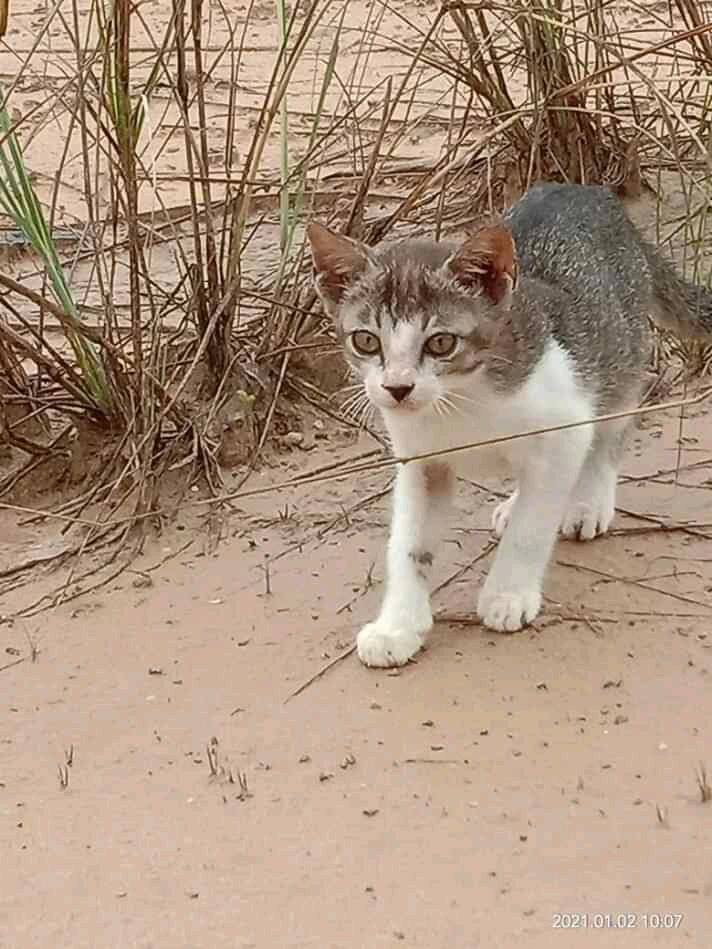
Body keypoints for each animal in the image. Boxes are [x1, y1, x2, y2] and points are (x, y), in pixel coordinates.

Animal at [306, 181, 712, 664]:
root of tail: (584, 191)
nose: (398, 387)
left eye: (441, 343)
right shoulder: (421, 460)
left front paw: (507, 594)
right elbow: (408, 544)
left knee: (607, 432)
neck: (461, 402)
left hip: (618, 353)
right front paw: (397, 626)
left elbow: (531, 528)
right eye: (366, 341)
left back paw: (587, 501)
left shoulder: (565, 427)